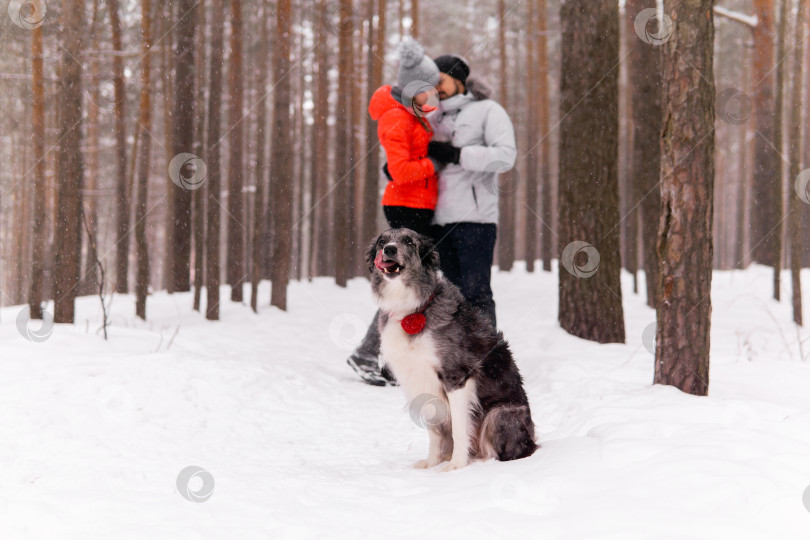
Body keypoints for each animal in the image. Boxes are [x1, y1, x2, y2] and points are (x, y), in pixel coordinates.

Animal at [368, 226, 536, 470]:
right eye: (382, 241)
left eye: (409, 241)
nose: (389, 249)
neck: (412, 309)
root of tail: (532, 441)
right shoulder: (419, 380)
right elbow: (435, 431)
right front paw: (431, 463)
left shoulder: (456, 376)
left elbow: (459, 428)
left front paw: (456, 465)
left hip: (499, 413)